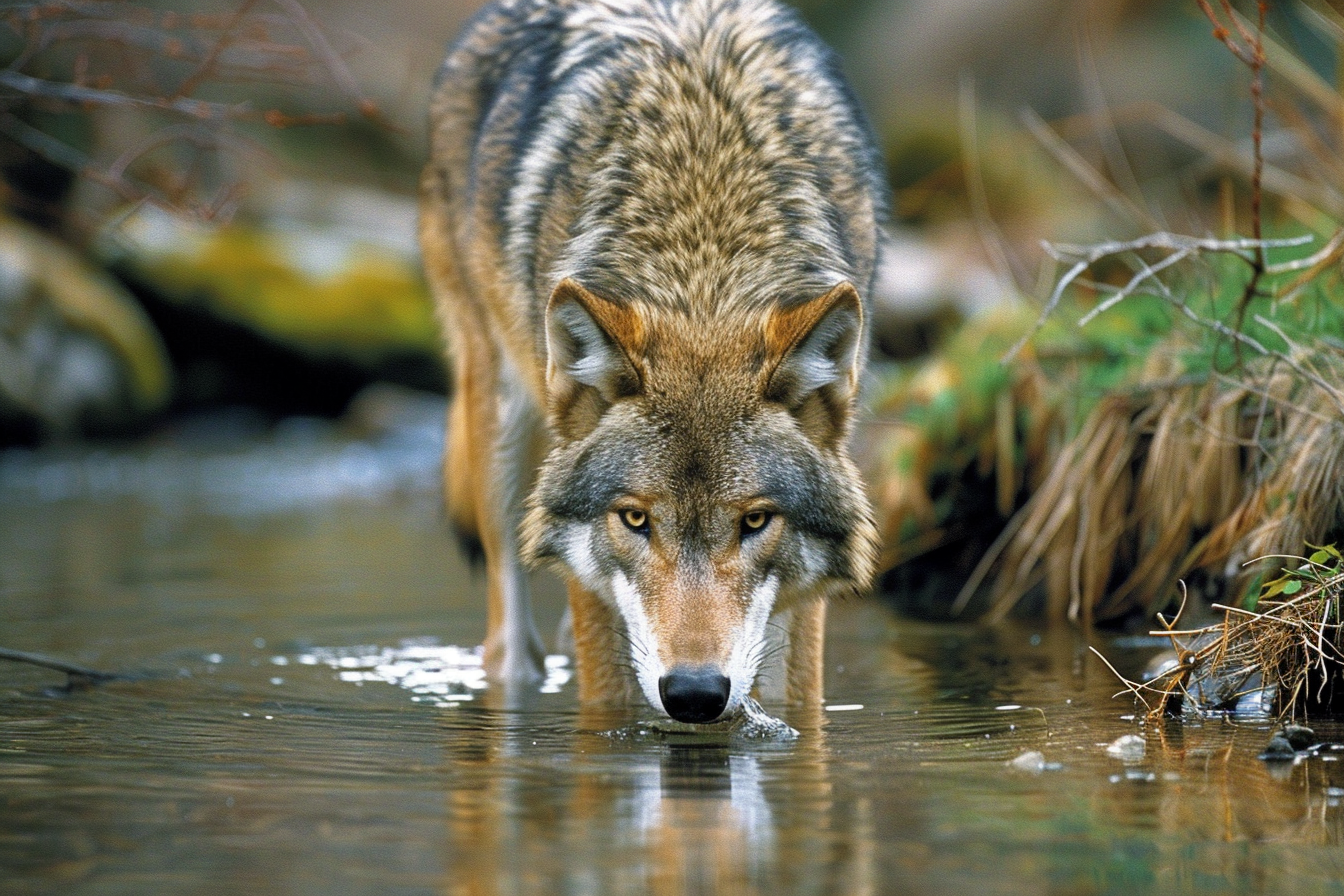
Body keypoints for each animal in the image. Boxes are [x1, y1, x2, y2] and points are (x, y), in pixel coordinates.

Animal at [419, 0, 886, 724]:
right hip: (498, 426)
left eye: (755, 521)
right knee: (507, 642)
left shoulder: (804, 598)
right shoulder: (591, 583)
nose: (694, 693)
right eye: (635, 519)